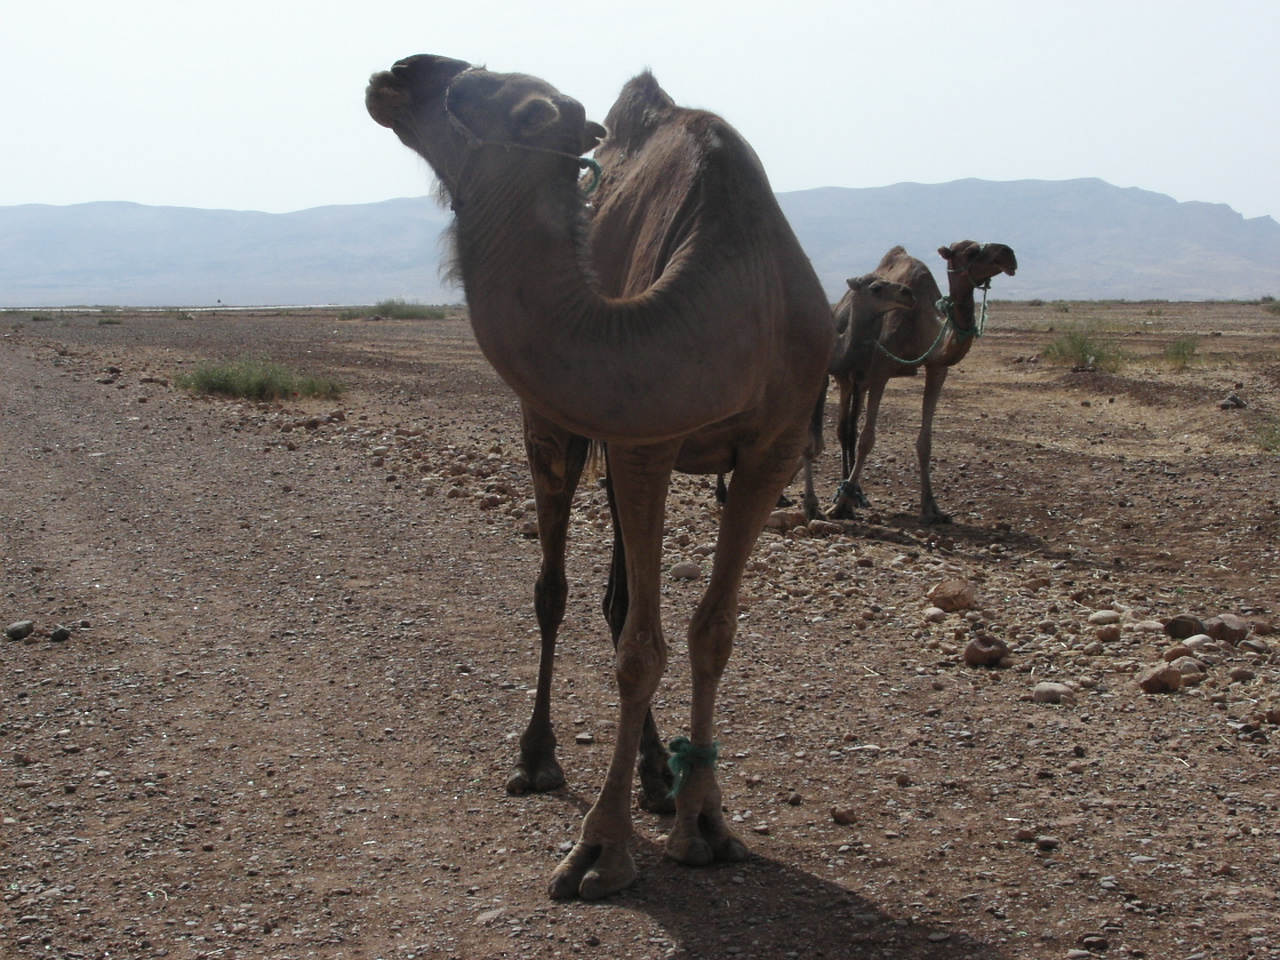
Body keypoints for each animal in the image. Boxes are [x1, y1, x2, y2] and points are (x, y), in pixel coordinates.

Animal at [366, 58, 834, 901]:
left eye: (523, 109)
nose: (402, 72)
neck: (739, 301)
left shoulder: (772, 452)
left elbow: (711, 632)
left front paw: (707, 822)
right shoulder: (643, 443)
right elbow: (640, 649)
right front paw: (601, 850)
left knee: (619, 599)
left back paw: (656, 778)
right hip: (554, 425)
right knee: (556, 590)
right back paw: (539, 758)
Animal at [829, 240, 1018, 527]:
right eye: (971, 251)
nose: (1009, 253)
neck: (920, 320)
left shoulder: (937, 368)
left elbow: (925, 442)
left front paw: (931, 509)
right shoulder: (881, 369)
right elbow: (867, 439)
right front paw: (841, 505)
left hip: (861, 381)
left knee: (851, 426)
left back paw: (856, 493)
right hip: (848, 376)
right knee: (845, 429)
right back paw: (846, 496)